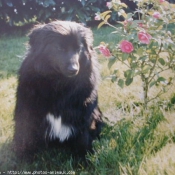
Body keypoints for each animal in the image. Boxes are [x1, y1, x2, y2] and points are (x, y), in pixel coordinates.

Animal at [14, 20, 104, 160]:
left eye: (78, 49)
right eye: (59, 48)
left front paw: (85, 159)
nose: (74, 69)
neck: (60, 82)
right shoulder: (27, 112)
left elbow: (83, 139)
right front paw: (23, 160)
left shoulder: (84, 114)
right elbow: (26, 137)